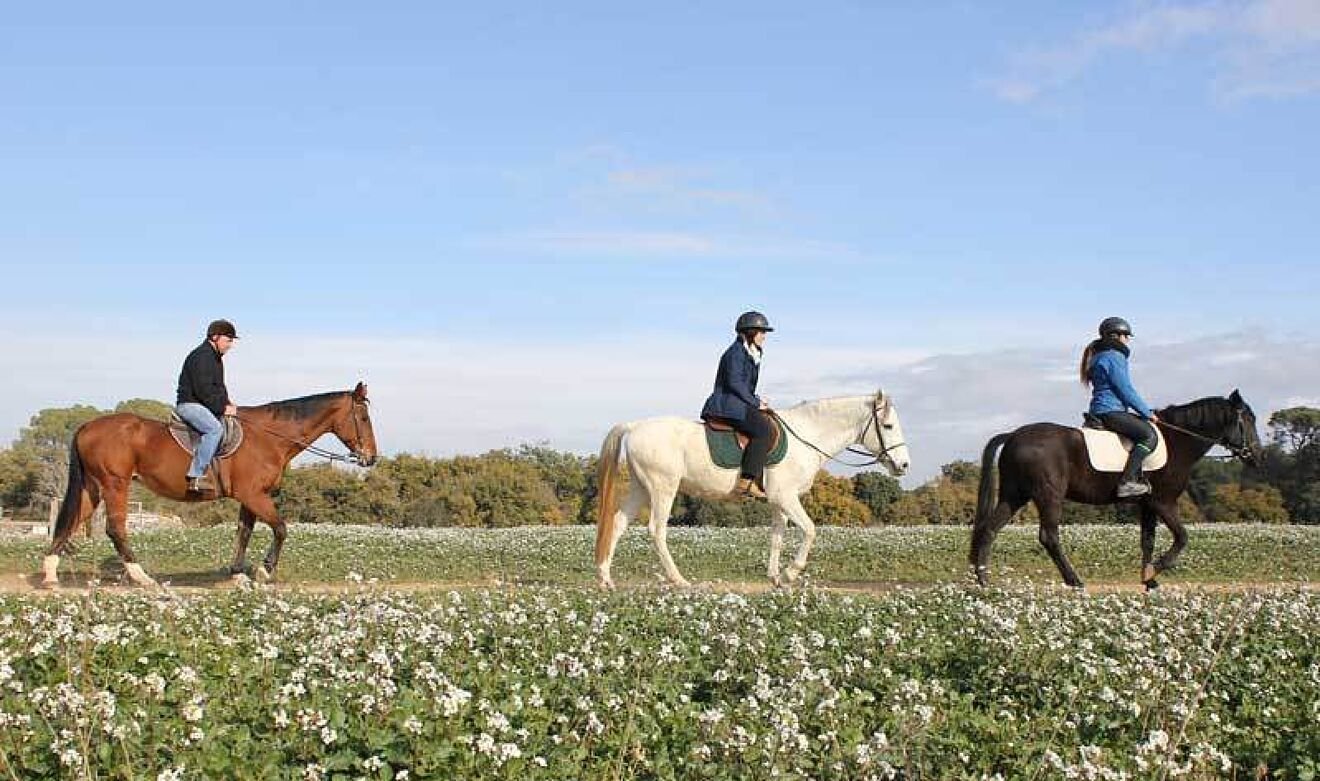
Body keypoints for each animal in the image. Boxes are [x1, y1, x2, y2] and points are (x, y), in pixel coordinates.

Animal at [39, 382, 377, 588]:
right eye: (363, 416)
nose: (371, 457)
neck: (268, 437)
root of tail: (87, 426)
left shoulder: (251, 498)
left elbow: (243, 533)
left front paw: (238, 575)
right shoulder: (255, 496)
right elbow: (281, 529)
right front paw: (265, 569)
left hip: (92, 489)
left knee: (69, 523)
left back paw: (50, 574)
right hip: (115, 486)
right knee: (115, 529)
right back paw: (141, 576)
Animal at [596, 390, 908, 585]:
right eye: (889, 426)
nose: (904, 465)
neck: (806, 436)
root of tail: (634, 426)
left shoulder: (779, 501)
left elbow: (777, 536)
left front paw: (775, 577)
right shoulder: (786, 496)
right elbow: (810, 530)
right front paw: (790, 574)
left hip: (641, 488)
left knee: (618, 523)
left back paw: (605, 578)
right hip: (663, 489)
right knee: (656, 530)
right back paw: (679, 580)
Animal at [971, 393, 1256, 588]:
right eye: (1248, 420)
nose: (1255, 457)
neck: (1177, 441)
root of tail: (1013, 436)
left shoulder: (1147, 504)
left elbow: (1148, 540)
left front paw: (1148, 580)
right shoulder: (1163, 501)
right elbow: (1182, 537)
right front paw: (1154, 571)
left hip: (1014, 495)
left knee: (989, 529)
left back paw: (983, 579)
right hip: (1048, 496)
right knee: (1048, 537)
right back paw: (1074, 580)